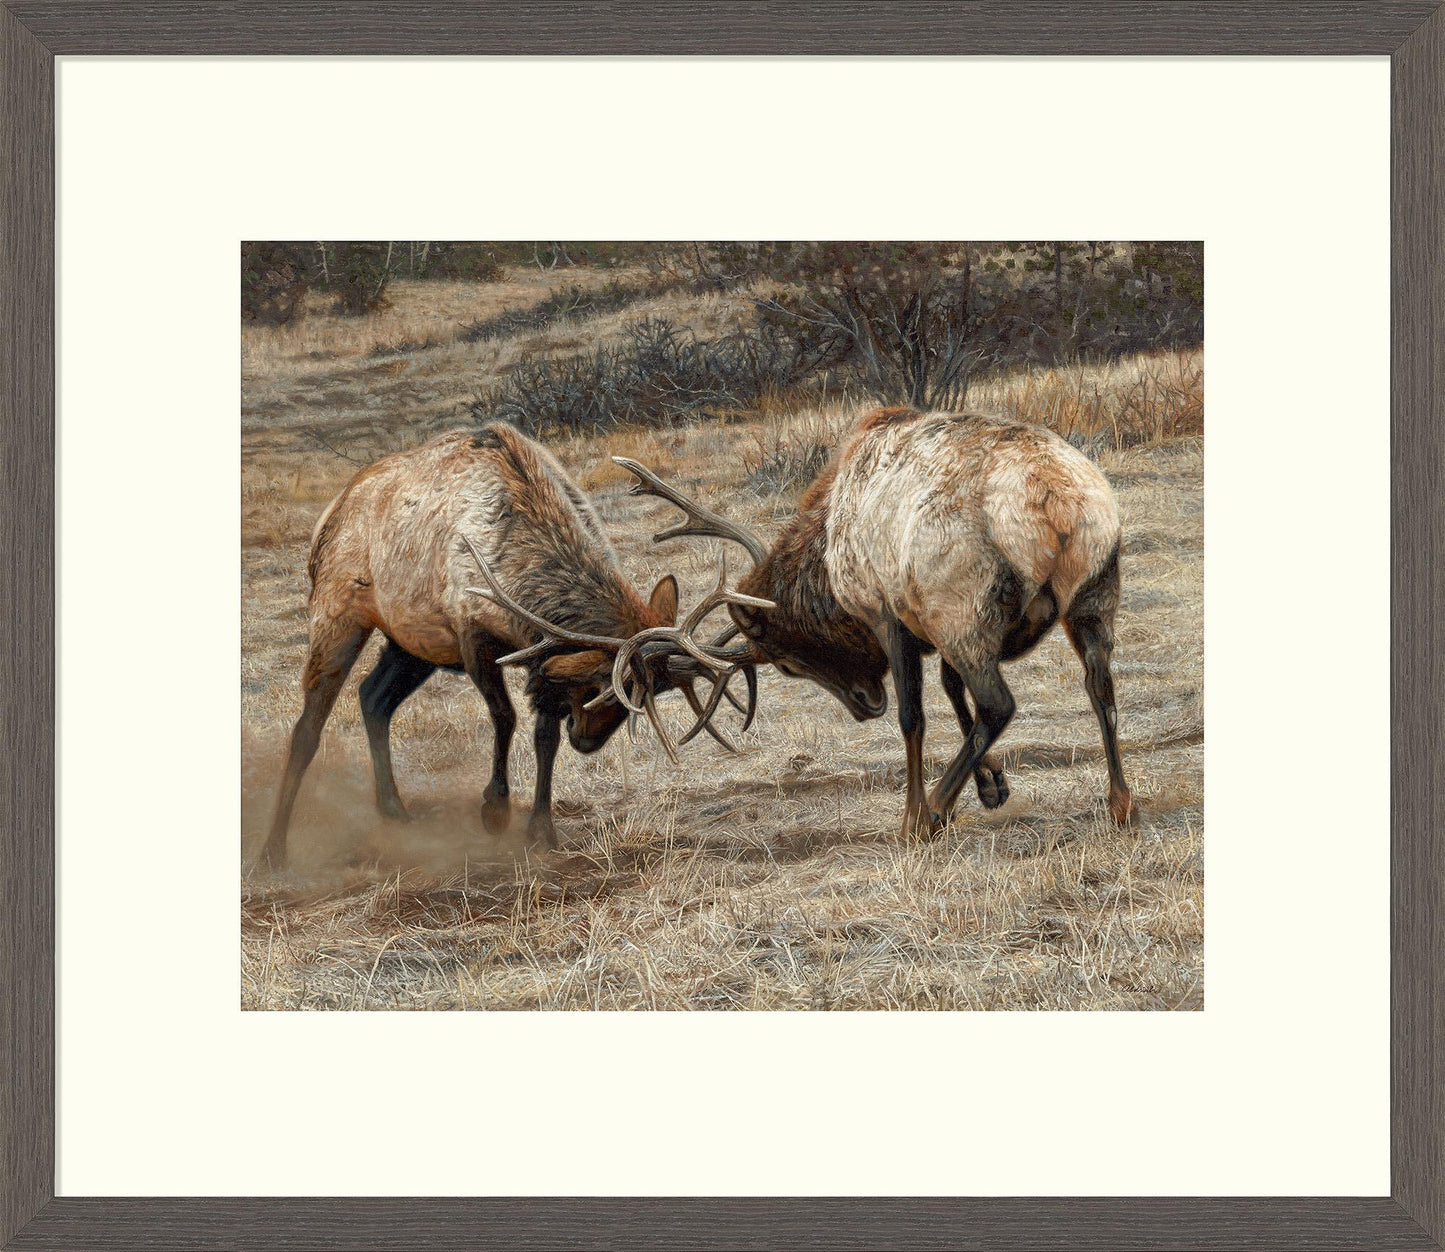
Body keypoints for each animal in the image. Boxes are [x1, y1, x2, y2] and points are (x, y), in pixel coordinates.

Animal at [259, 423, 768, 868]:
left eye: (649, 695)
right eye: (603, 686)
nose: (588, 741)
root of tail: (330, 513)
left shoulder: (538, 655)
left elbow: (544, 737)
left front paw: (541, 829)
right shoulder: (472, 635)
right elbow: (505, 717)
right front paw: (494, 809)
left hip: (412, 644)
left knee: (373, 697)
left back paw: (394, 811)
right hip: (337, 611)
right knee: (308, 726)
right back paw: (273, 850)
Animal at [614, 404, 1132, 838]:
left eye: (785, 663)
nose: (865, 705)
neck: (827, 558)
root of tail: (1057, 503)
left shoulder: (891, 616)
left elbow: (913, 717)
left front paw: (915, 814)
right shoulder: (928, 623)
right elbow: (951, 690)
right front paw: (992, 786)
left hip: (965, 606)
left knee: (998, 704)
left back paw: (933, 811)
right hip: (1093, 595)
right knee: (1100, 686)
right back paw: (1121, 803)